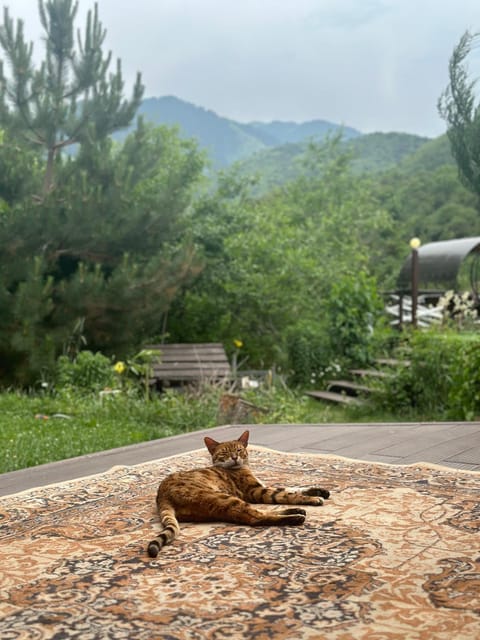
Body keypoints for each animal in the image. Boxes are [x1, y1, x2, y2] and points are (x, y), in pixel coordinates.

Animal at [147, 430, 330, 560]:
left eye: (239, 450)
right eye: (224, 453)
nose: (235, 458)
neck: (239, 468)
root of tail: (162, 496)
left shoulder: (263, 486)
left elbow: (292, 488)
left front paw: (320, 491)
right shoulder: (256, 491)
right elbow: (287, 494)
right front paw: (313, 498)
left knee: (259, 513)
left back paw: (296, 511)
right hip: (224, 498)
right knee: (255, 518)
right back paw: (295, 517)